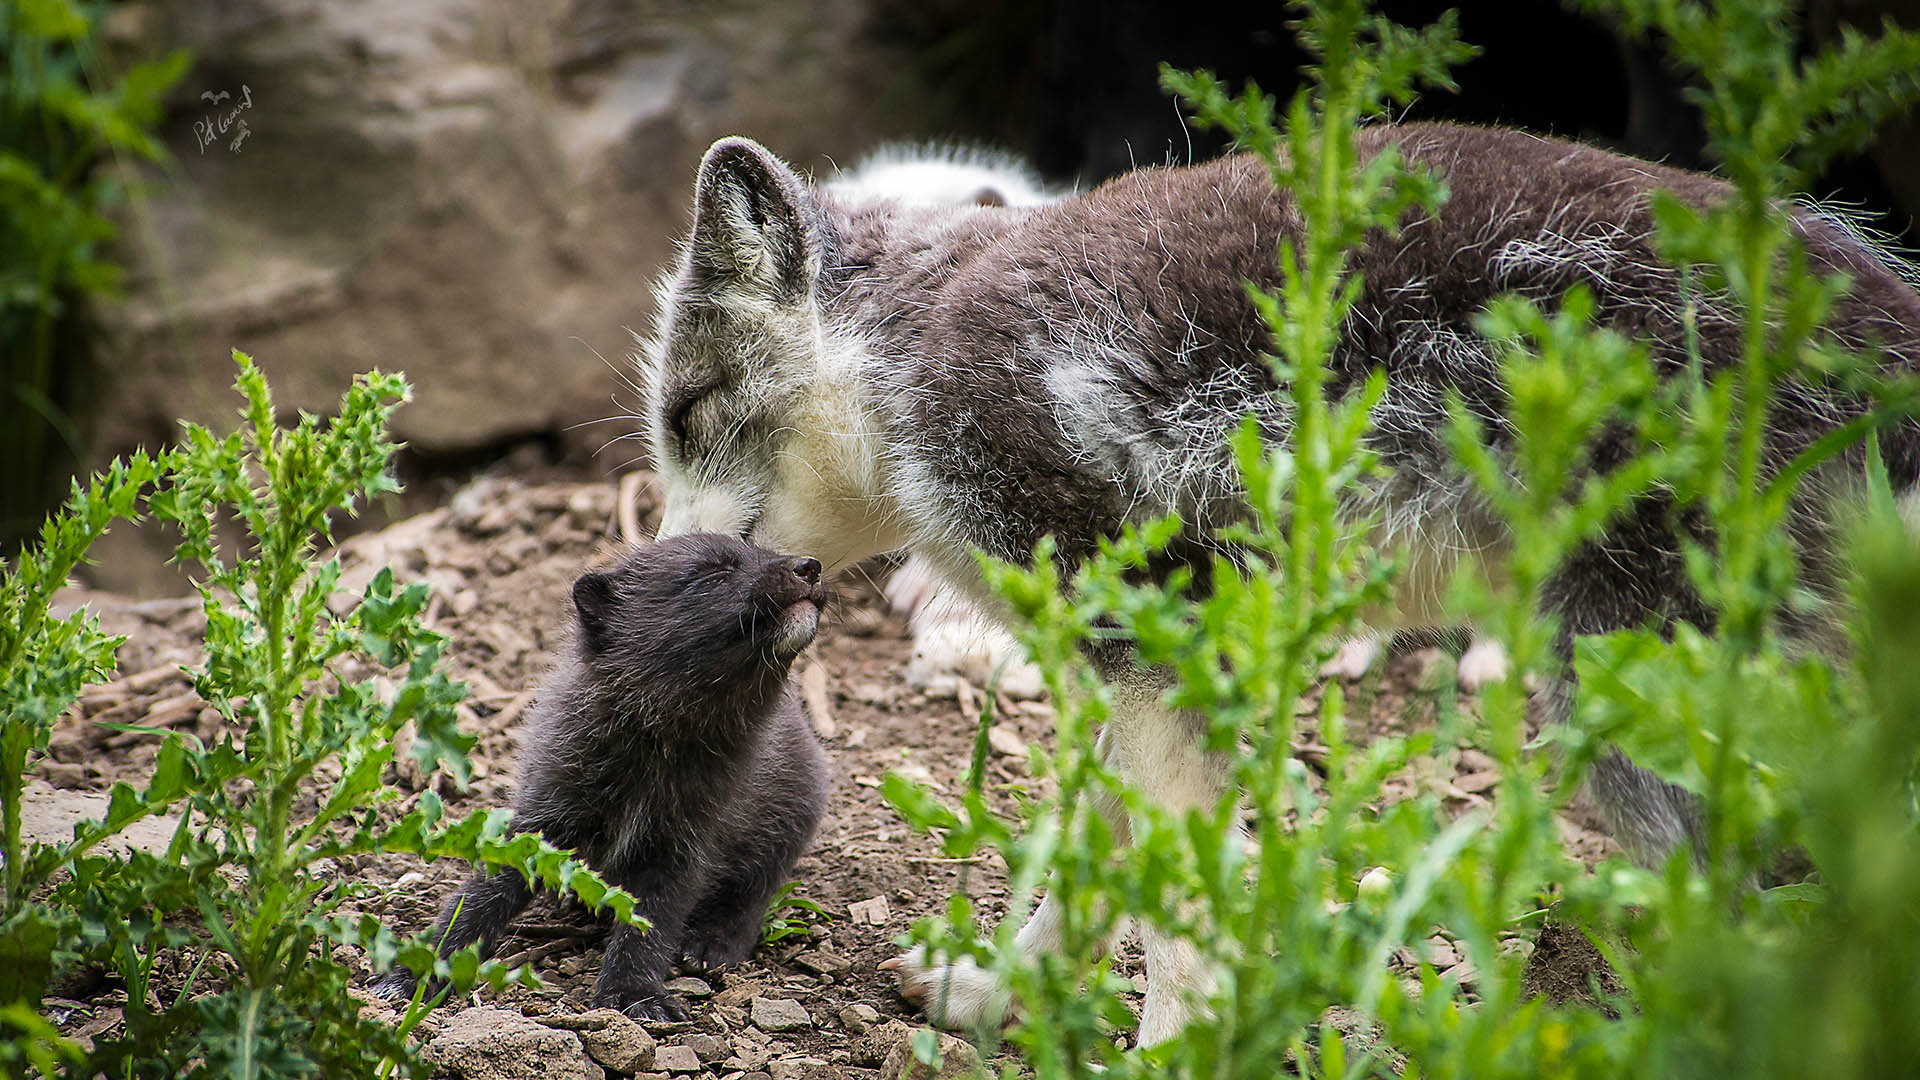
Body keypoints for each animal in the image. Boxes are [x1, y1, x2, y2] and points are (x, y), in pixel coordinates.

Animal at [641, 125, 1920, 1045]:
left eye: (689, 413)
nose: (642, 569)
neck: (909, 353)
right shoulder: (1146, 663)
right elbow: (1103, 842)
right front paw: (999, 992)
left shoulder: (1157, 640)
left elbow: (1173, 891)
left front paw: (1169, 1050)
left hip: (1634, 699)